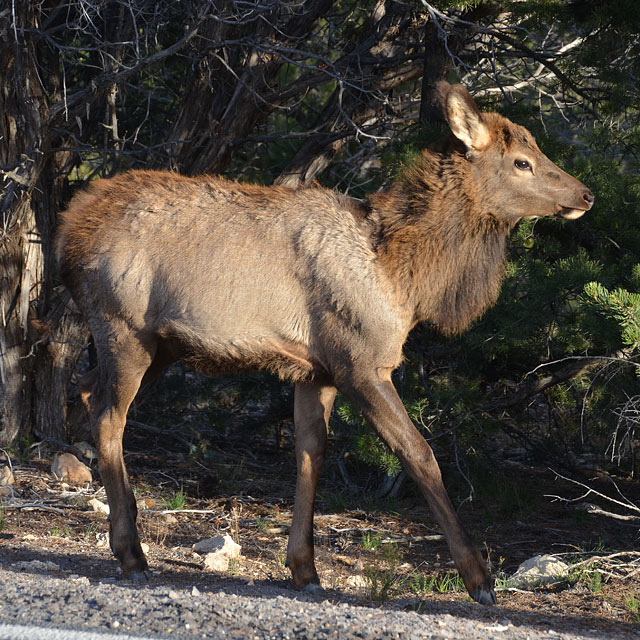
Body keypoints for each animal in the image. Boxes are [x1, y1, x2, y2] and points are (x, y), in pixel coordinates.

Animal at [57, 82, 592, 608]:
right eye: (521, 161)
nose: (585, 194)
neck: (403, 278)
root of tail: (69, 230)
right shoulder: (361, 362)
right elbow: (418, 453)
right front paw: (479, 578)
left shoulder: (317, 371)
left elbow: (311, 454)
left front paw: (304, 568)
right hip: (124, 328)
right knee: (109, 416)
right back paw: (131, 554)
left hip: (161, 346)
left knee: (84, 390)